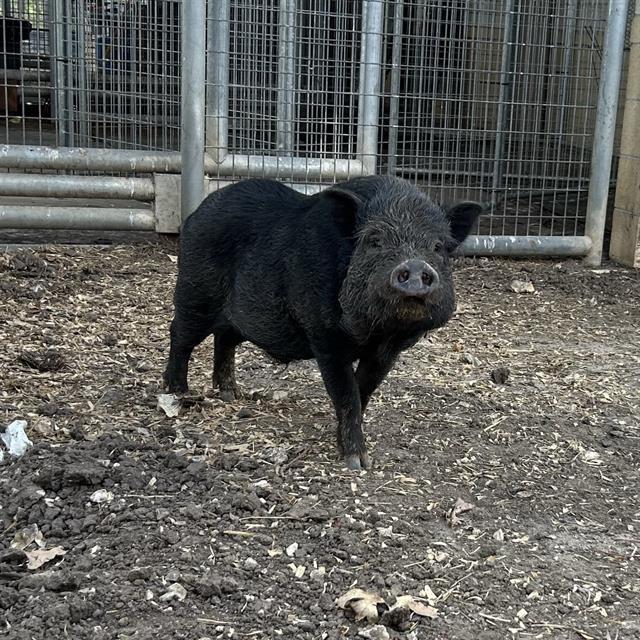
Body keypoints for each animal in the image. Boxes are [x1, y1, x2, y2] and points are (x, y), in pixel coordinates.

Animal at [164, 176, 482, 470]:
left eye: (438, 246)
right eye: (374, 241)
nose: (415, 265)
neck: (376, 333)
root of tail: (197, 213)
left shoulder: (387, 352)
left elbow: (363, 390)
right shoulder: (325, 338)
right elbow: (346, 393)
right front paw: (357, 463)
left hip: (231, 314)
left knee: (224, 337)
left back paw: (230, 394)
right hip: (194, 293)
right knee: (179, 335)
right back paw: (176, 392)